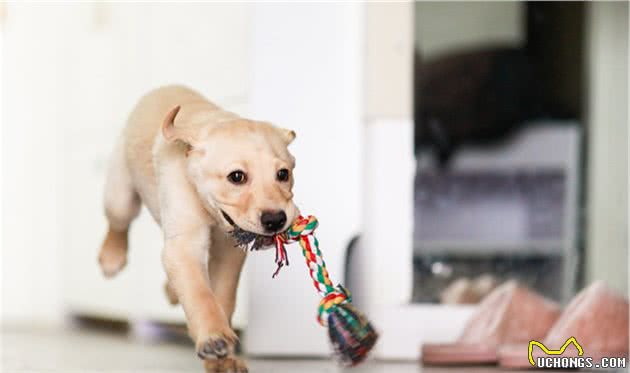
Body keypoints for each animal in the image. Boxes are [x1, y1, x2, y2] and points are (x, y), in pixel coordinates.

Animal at [98, 85, 298, 370]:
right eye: (236, 177)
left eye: (283, 174)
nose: (275, 220)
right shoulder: (184, 245)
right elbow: (199, 293)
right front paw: (214, 337)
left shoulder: (229, 252)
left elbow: (221, 297)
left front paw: (223, 360)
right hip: (120, 193)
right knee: (118, 222)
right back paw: (111, 257)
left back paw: (171, 291)